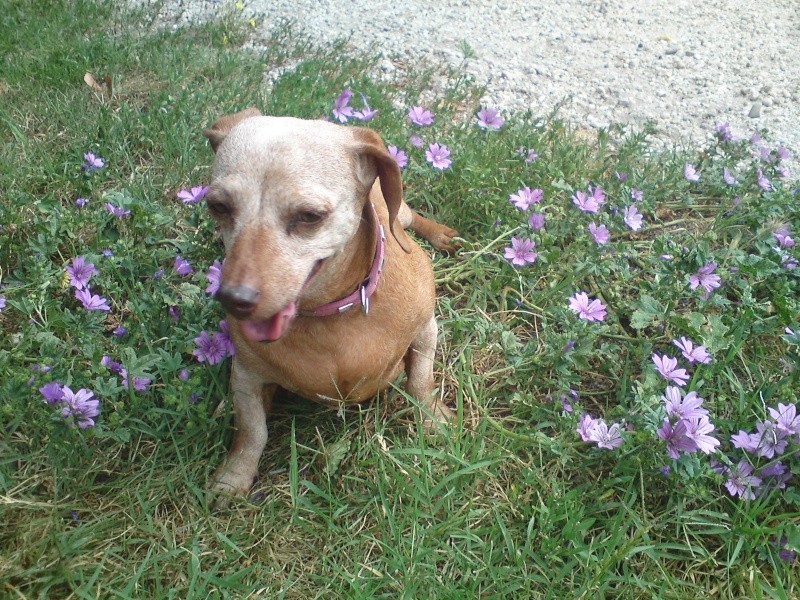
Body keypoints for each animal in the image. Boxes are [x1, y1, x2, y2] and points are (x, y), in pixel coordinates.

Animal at [202, 109, 456, 502]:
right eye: (218, 206)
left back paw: (438, 233)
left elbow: (421, 383)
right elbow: (252, 430)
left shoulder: (427, 329)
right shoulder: (245, 375)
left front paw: (433, 419)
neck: (332, 314)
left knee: (410, 217)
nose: (234, 299)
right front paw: (235, 475)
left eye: (309, 216)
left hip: (402, 214)